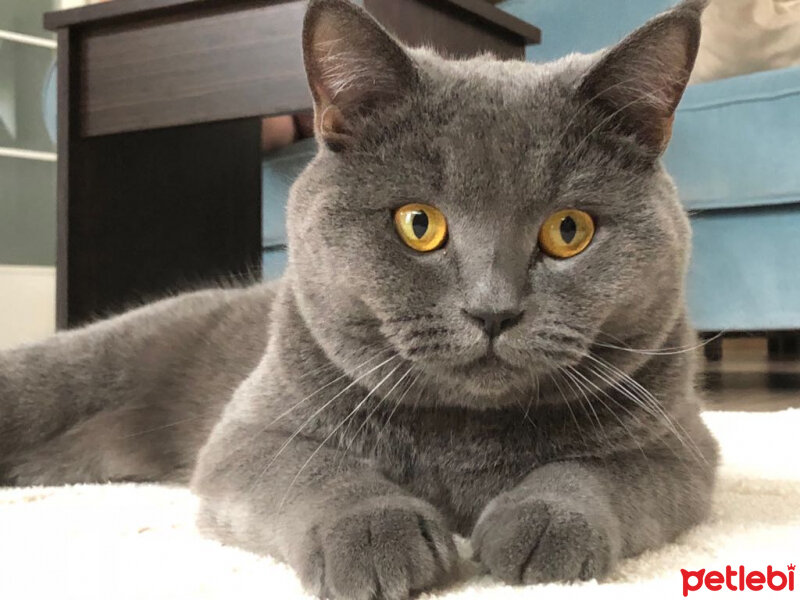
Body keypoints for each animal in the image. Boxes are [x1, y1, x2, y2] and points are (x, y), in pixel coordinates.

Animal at [0, 0, 720, 596]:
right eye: (418, 223)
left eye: (569, 231)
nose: (492, 311)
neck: (462, 437)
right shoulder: (246, 435)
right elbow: (315, 469)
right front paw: (377, 536)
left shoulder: (683, 448)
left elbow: (601, 471)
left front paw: (543, 521)